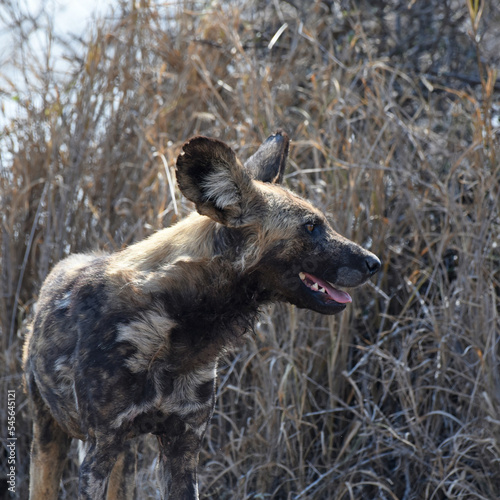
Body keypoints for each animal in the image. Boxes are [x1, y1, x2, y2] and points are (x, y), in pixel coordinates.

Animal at [23, 131, 380, 498]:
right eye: (310, 227)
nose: (374, 263)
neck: (180, 333)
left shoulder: (183, 443)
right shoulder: (100, 447)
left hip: (126, 454)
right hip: (51, 437)